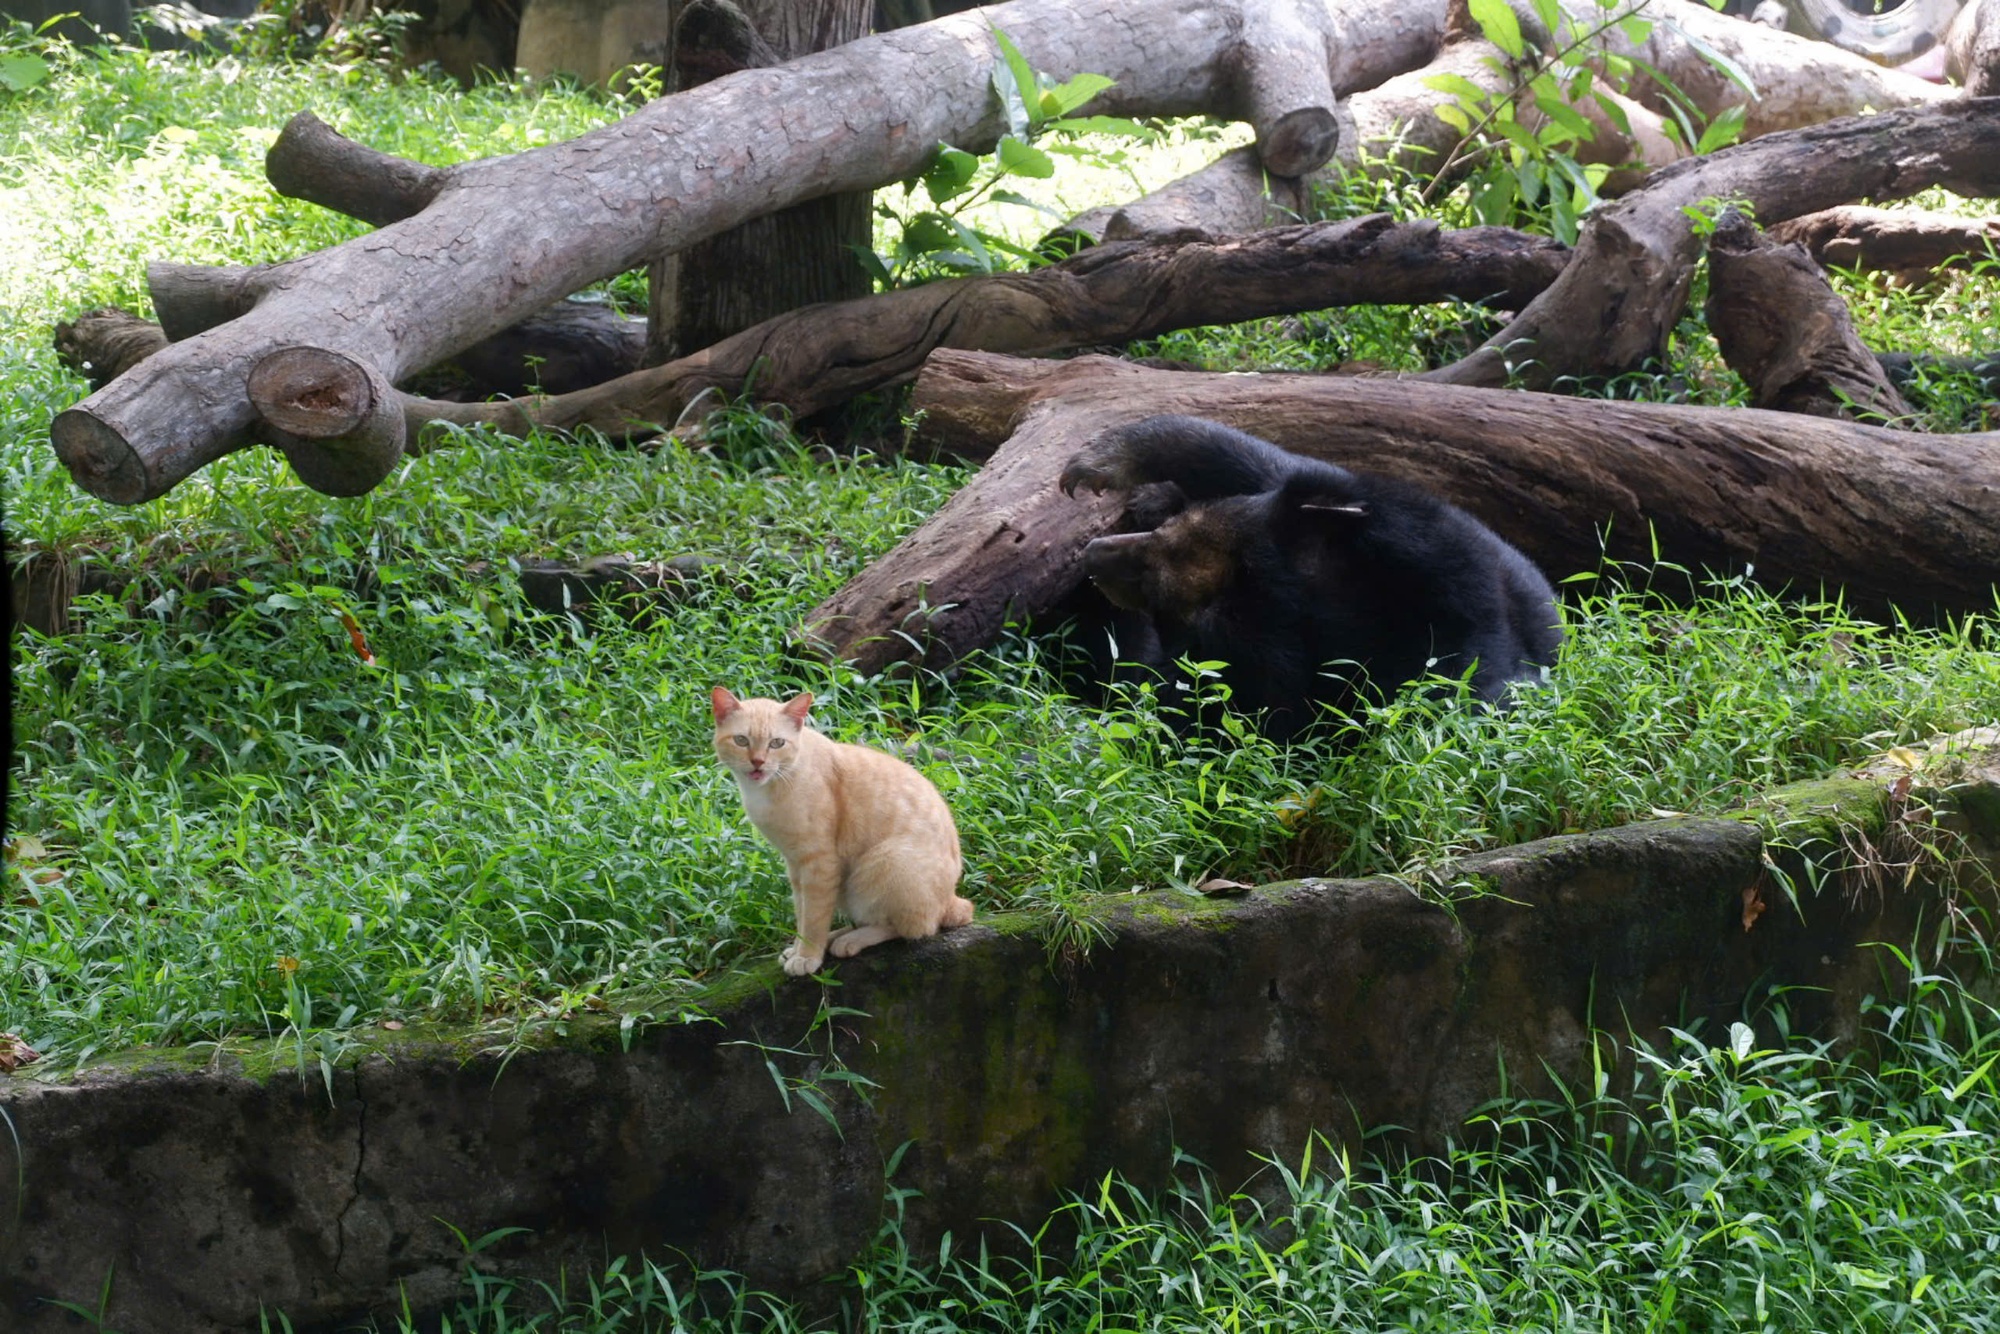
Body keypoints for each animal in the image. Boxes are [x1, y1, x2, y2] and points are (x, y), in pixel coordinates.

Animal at [712, 688, 976, 980]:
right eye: (741, 740)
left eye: (777, 743)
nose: (757, 762)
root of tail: (952, 898)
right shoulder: (796, 865)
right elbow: (803, 913)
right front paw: (799, 950)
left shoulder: (818, 863)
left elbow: (813, 918)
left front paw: (808, 957)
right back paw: (836, 936)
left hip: (883, 864)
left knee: (910, 927)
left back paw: (849, 941)